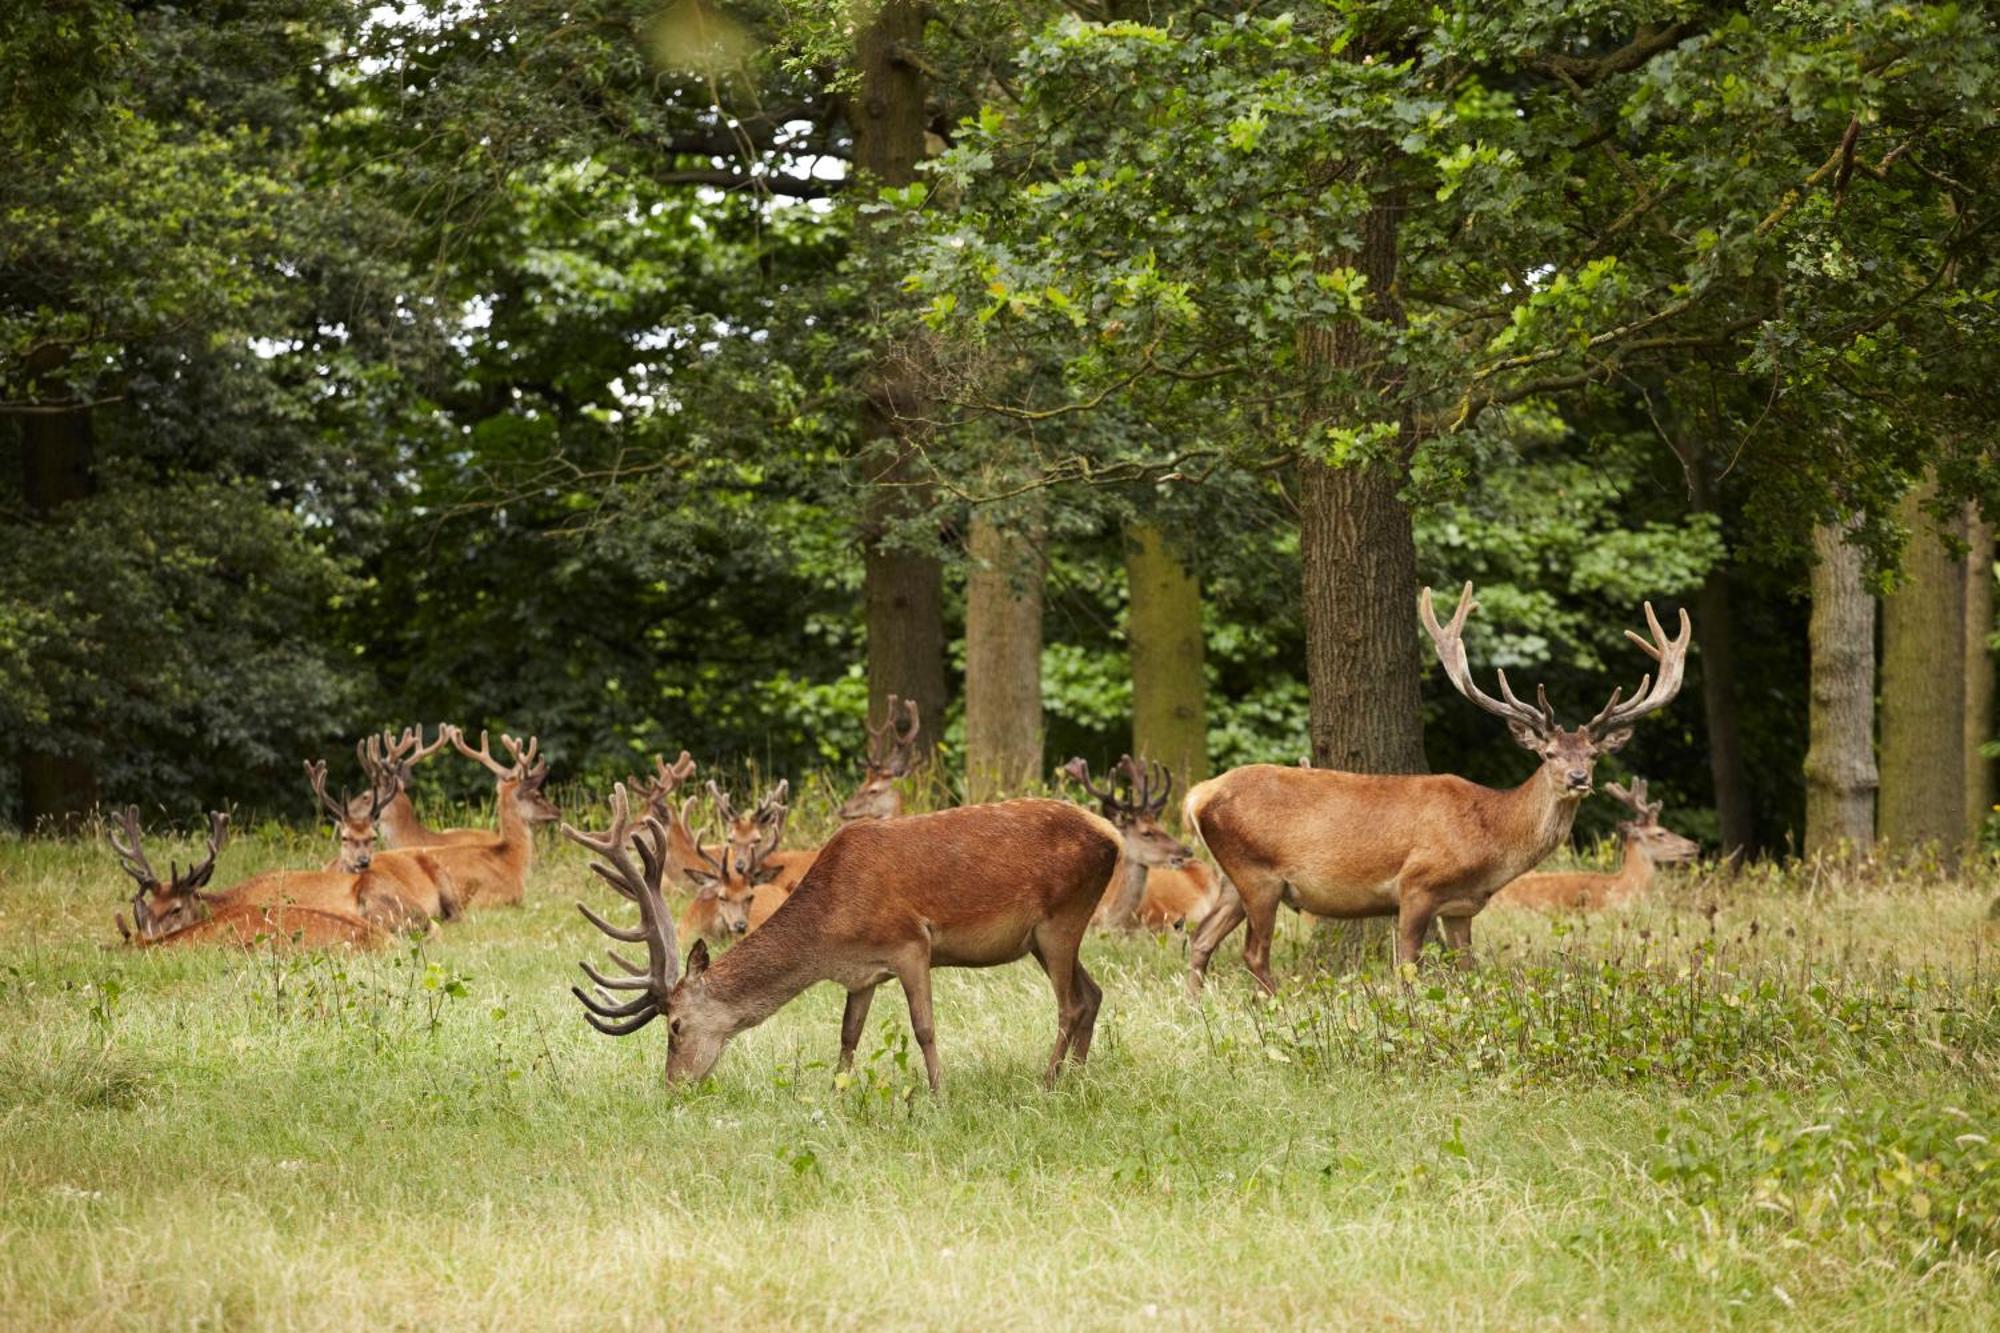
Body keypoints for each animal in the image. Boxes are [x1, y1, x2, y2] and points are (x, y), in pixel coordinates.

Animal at [568, 784, 1128, 1088]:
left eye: (675, 1026)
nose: (674, 1086)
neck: (831, 931)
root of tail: (1114, 836)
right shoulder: (862, 974)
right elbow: (848, 1035)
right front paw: (835, 1094)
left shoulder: (911, 943)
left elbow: (924, 1028)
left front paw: (939, 1095)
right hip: (1042, 937)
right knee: (1092, 993)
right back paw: (1077, 1080)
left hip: (1062, 917)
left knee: (1070, 1004)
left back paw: (1048, 1084)